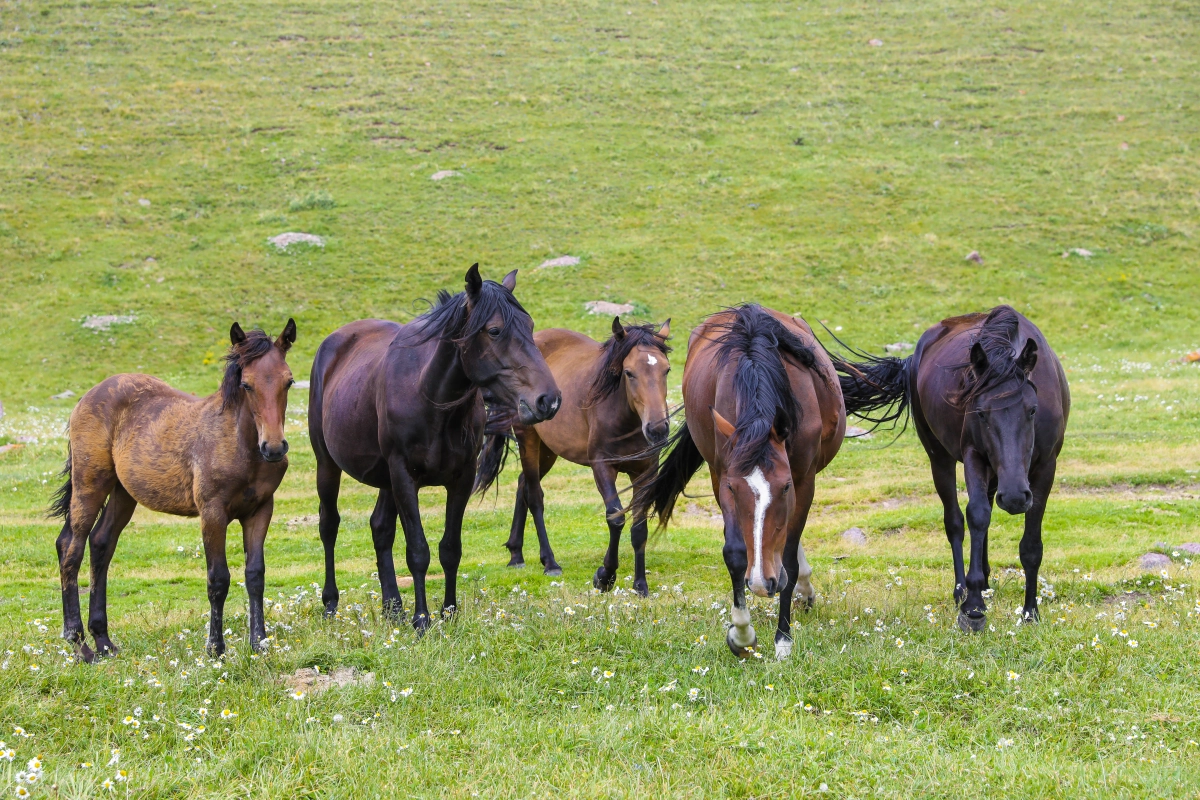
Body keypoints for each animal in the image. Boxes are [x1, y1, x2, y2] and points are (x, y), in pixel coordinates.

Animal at [49, 319, 297, 662]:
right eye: (246, 384)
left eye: (289, 382)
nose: (273, 448)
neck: (241, 445)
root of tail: (87, 397)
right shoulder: (212, 512)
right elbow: (218, 579)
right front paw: (215, 649)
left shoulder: (260, 509)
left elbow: (255, 575)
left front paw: (259, 643)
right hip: (90, 483)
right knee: (71, 548)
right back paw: (80, 645)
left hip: (123, 493)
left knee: (101, 544)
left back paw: (104, 641)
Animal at [304, 266, 556, 628]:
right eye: (494, 330)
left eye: (531, 326)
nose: (548, 399)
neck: (430, 396)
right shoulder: (404, 477)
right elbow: (418, 551)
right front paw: (422, 619)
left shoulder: (461, 479)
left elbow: (450, 549)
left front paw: (448, 612)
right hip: (328, 464)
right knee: (329, 526)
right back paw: (330, 603)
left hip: (385, 481)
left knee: (380, 529)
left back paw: (393, 606)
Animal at [482, 316, 681, 592]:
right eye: (629, 373)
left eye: (667, 370)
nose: (657, 429)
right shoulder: (602, 467)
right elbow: (616, 517)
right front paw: (605, 575)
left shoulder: (646, 471)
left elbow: (639, 526)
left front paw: (640, 585)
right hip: (528, 440)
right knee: (534, 495)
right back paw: (550, 562)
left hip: (549, 451)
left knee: (522, 484)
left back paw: (516, 554)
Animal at [638, 303, 844, 662]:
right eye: (735, 489)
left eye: (784, 487)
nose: (762, 582)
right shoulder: (722, 477)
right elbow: (735, 552)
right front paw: (743, 635)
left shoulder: (803, 481)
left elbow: (788, 556)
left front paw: (783, 640)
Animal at [830, 307, 1075, 633]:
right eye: (980, 413)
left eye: (1032, 410)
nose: (1014, 497)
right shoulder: (973, 456)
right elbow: (977, 516)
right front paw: (973, 608)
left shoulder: (1046, 467)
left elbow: (1031, 545)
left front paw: (1030, 612)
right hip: (940, 458)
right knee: (956, 521)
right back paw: (963, 590)